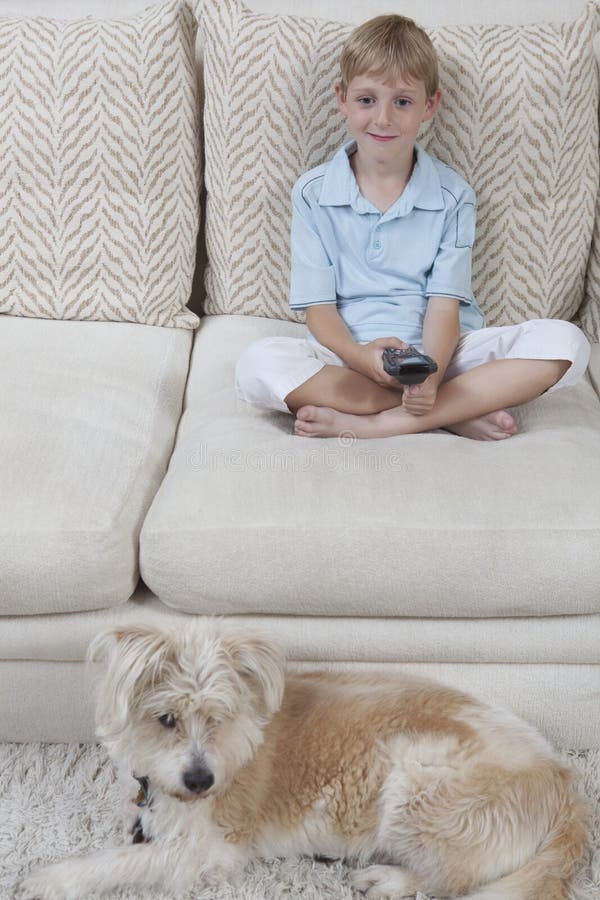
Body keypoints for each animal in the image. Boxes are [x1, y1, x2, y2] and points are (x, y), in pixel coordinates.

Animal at [21, 624, 588, 900]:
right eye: (166, 719)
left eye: (220, 717)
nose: (202, 781)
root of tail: (563, 784)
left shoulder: (207, 851)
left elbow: (118, 861)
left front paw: (51, 880)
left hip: (418, 787)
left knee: (455, 881)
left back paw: (388, 880)